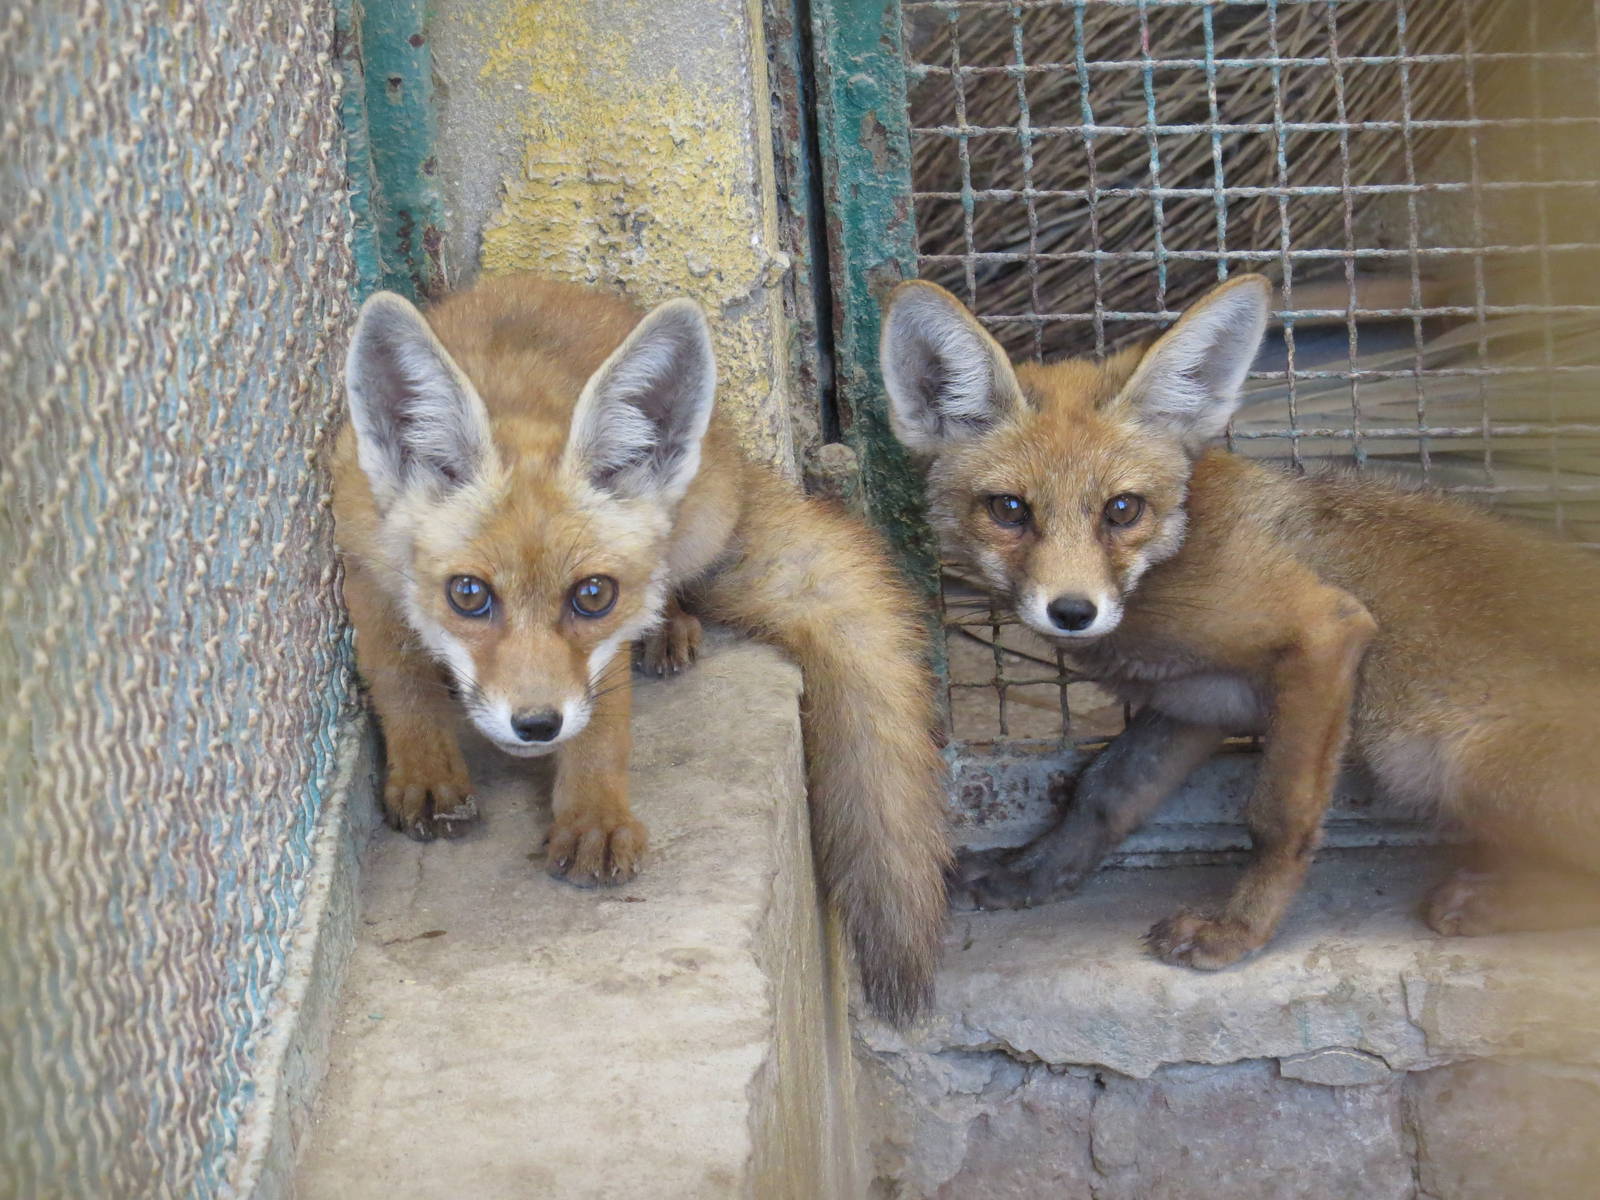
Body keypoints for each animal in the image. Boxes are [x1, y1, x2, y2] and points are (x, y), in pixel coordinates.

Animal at [331, 274, 951, 1022]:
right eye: (468, 594)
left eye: (593, 595)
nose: (536, 724)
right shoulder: (362, 566)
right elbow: (399, 680)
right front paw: (424, 769)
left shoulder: (608, 644)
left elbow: (604, 726)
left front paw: (593, 815)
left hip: (702, 521)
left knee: (671, 582)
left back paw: (670, 624)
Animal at [879, 273, 1600, 969]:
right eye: (1009, 509)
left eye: (1121, 509)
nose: (1073, 611)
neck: (1173, 558)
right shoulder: (1195, 700)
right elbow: (1102, 790)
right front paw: (1038, 872)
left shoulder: (1324, 630)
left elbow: (1278, 816)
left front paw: (1240, 930)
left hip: (1470, 764)